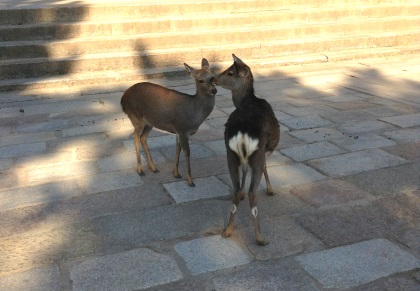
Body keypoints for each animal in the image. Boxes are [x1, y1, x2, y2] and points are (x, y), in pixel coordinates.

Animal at [120, 59, 217, 187]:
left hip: (149, 122)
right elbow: (187, 152)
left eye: (212, 77)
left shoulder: (178, 131)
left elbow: (177, 149)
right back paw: (140, 170)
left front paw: (176, 173)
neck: (194, 116)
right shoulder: (182, 129)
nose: (214, 90)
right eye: (201, 80)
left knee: (143, 138)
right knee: (136, 136)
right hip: (136, 117)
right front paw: (190, 180)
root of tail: (122, 99)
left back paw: (153, 168)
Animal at [212, 54, 280, 246]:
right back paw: (260, 238)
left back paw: (228, 230)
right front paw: (270, 190)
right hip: (256, 154)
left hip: (230, 153)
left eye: (229, 72)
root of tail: (242, 132)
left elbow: (244, 172)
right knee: (252, 193)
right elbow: (265, 168)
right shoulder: (265, 150)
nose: (212, 78)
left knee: (236, 189)